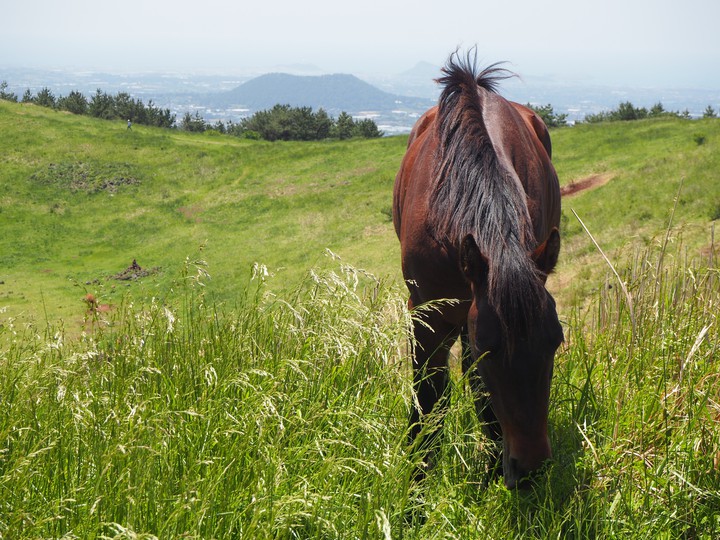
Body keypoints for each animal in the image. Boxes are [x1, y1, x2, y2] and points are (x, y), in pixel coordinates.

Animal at [393, 51, 563, 489]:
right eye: (492, 349)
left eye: (556, 341)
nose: (532, 468)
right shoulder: (426, 316)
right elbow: (428, 399)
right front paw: (415, 484)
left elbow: (480, 393)